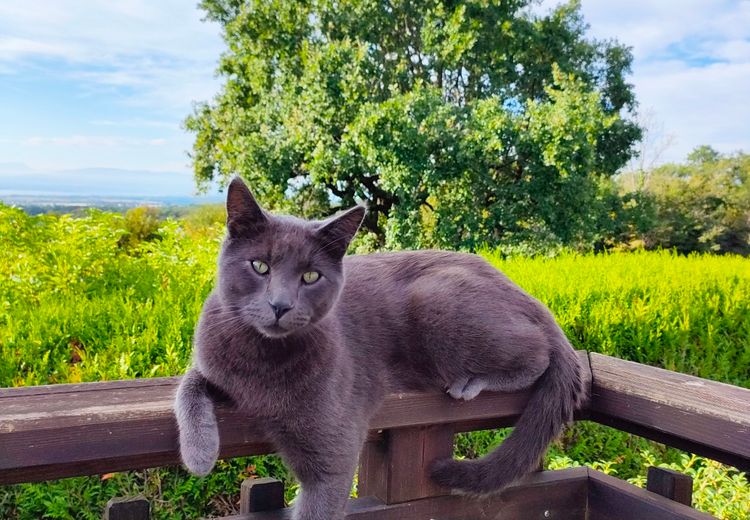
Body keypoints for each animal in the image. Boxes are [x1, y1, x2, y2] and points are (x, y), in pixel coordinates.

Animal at [173, 177, 584, 516]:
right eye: (259, 266)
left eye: (310, 276)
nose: (280, 305)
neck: (262, 362)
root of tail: (523, 292)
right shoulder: (212, 360)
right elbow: (187, 387)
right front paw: (199, 455)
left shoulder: (334, 450)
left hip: (436, 300)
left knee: (537, 354)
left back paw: (471, 382)